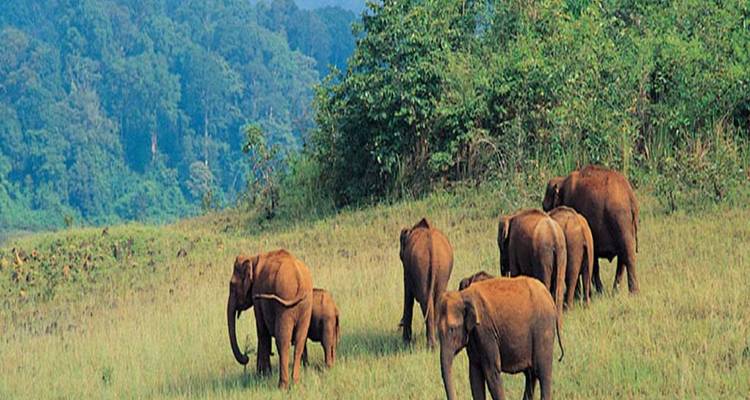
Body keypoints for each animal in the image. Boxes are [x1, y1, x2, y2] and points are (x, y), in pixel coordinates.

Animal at [227, 249, 313, 389]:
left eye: (232, 285)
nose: (246, 357)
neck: (252, 258)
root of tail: (299, 279)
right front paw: (262, 375)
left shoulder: (257, 294)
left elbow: (262, 332)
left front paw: (264, 376)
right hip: (306, 306)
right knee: (300, 340)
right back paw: (295, 383)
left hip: (285, 305)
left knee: (282, 340)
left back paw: (282, 386)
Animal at [399, 217, 454, 348]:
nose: (400, 323)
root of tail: (432, 246)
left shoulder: (407, 270)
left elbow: (408, 295)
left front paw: (405, 343)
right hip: (442, 267)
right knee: (437, 300)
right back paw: (436, 343)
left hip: (420, 265)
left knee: (425, 301)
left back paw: (431, 346)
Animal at [542, 165, 640, 294]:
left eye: (545, 207)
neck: (562, 180)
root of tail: (631, 197)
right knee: (623, 257)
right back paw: (615, 292)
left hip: (620, 219)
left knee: (627, 254)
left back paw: (632, 293)